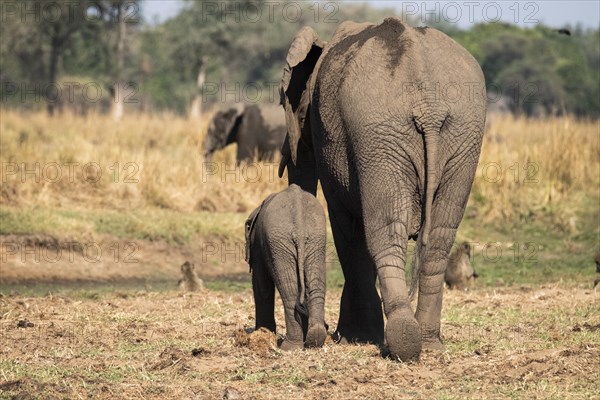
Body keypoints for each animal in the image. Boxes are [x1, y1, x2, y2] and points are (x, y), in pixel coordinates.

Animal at [245, 184, 328, 350]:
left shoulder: (258, 247)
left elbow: (261, 285)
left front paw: (263, 332)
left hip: (279, 242)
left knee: (289, 292)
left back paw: (289, 347)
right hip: (315, 238)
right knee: (316, 285)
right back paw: (314, 340)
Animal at [278, 18, 486, 360]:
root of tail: (428, 107)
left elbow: (348, 230)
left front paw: (355, 337)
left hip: (380, 134)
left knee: (385, 234)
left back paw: (403, 341)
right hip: (460, 133)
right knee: (439, 238)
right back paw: (428, 342)